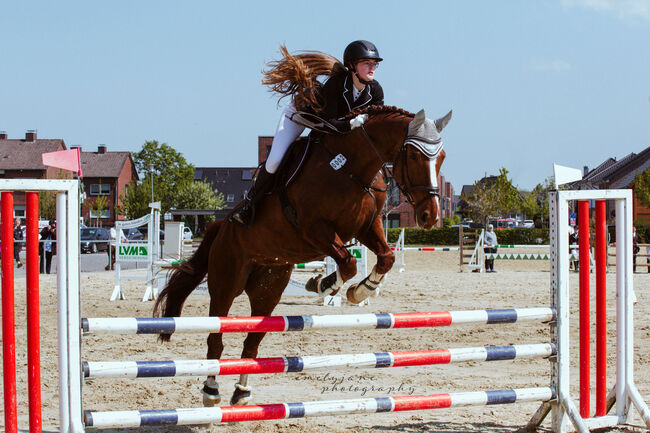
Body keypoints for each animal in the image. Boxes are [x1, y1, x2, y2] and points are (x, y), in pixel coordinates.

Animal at [154, 104, 450, 404]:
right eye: (413, 155)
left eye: (442, 158)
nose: (430, 216)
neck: (351, 168)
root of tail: (221, 226)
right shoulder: (314, 228)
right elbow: (348, 263)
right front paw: (325, 284)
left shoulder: (367, 226)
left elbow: (385, 258)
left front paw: (358, 292)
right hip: (226, 284)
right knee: (216, 335)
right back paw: (211, 390)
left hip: (268, 290)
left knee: (252, 342)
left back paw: (241, 393)